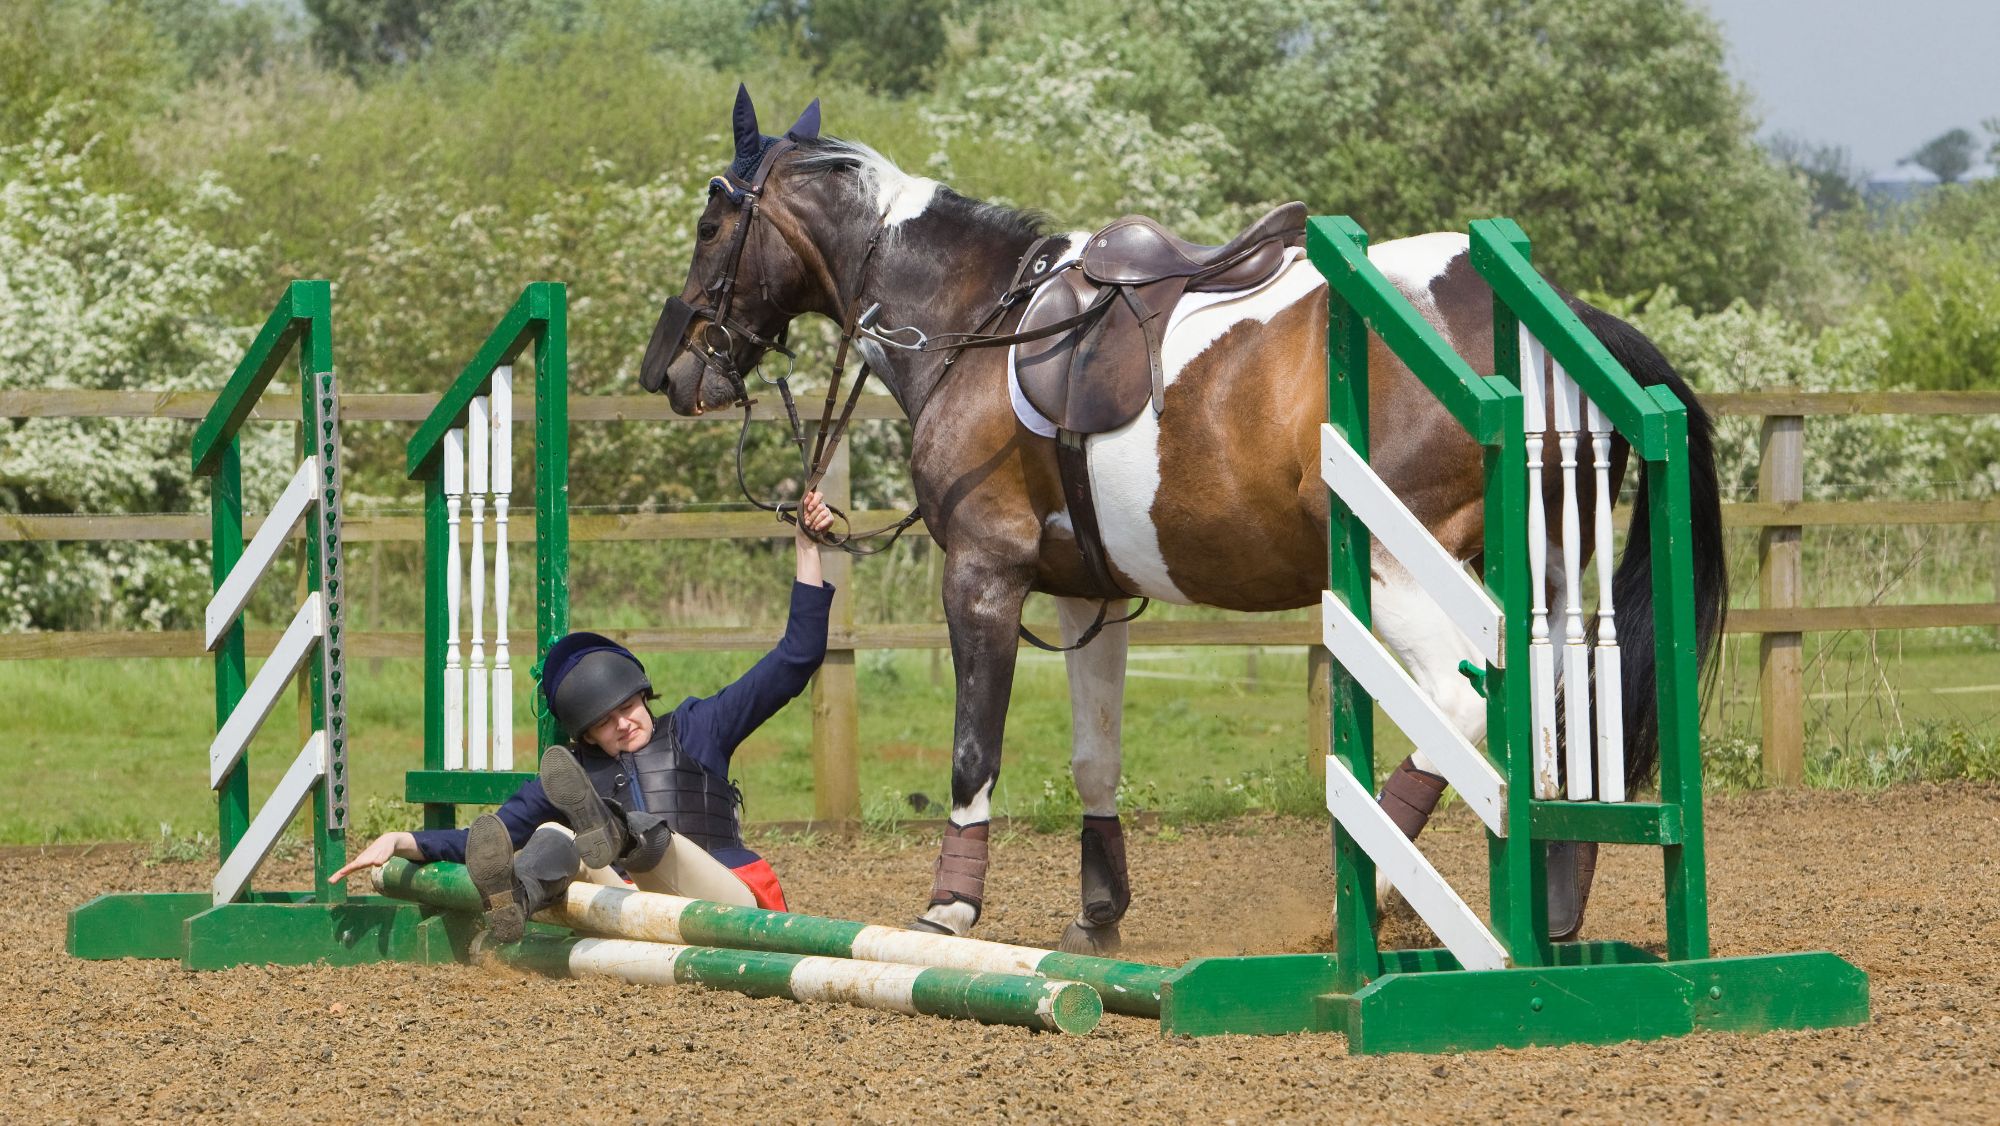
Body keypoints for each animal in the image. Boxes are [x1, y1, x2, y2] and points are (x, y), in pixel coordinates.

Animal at [639, 88, 1724, 955]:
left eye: (708, 225)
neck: (976, 319)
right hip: (1543, 579)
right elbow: (1094, 756)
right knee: (1554, 724)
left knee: (1463, 717)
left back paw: (1368, 885)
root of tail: (1566, 322)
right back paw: (1554, 911)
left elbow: (973, 751)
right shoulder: (1087, 598)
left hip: (1402, 571)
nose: (669, 371)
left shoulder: (985, 575)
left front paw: (950, 905)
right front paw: (1098, 910)